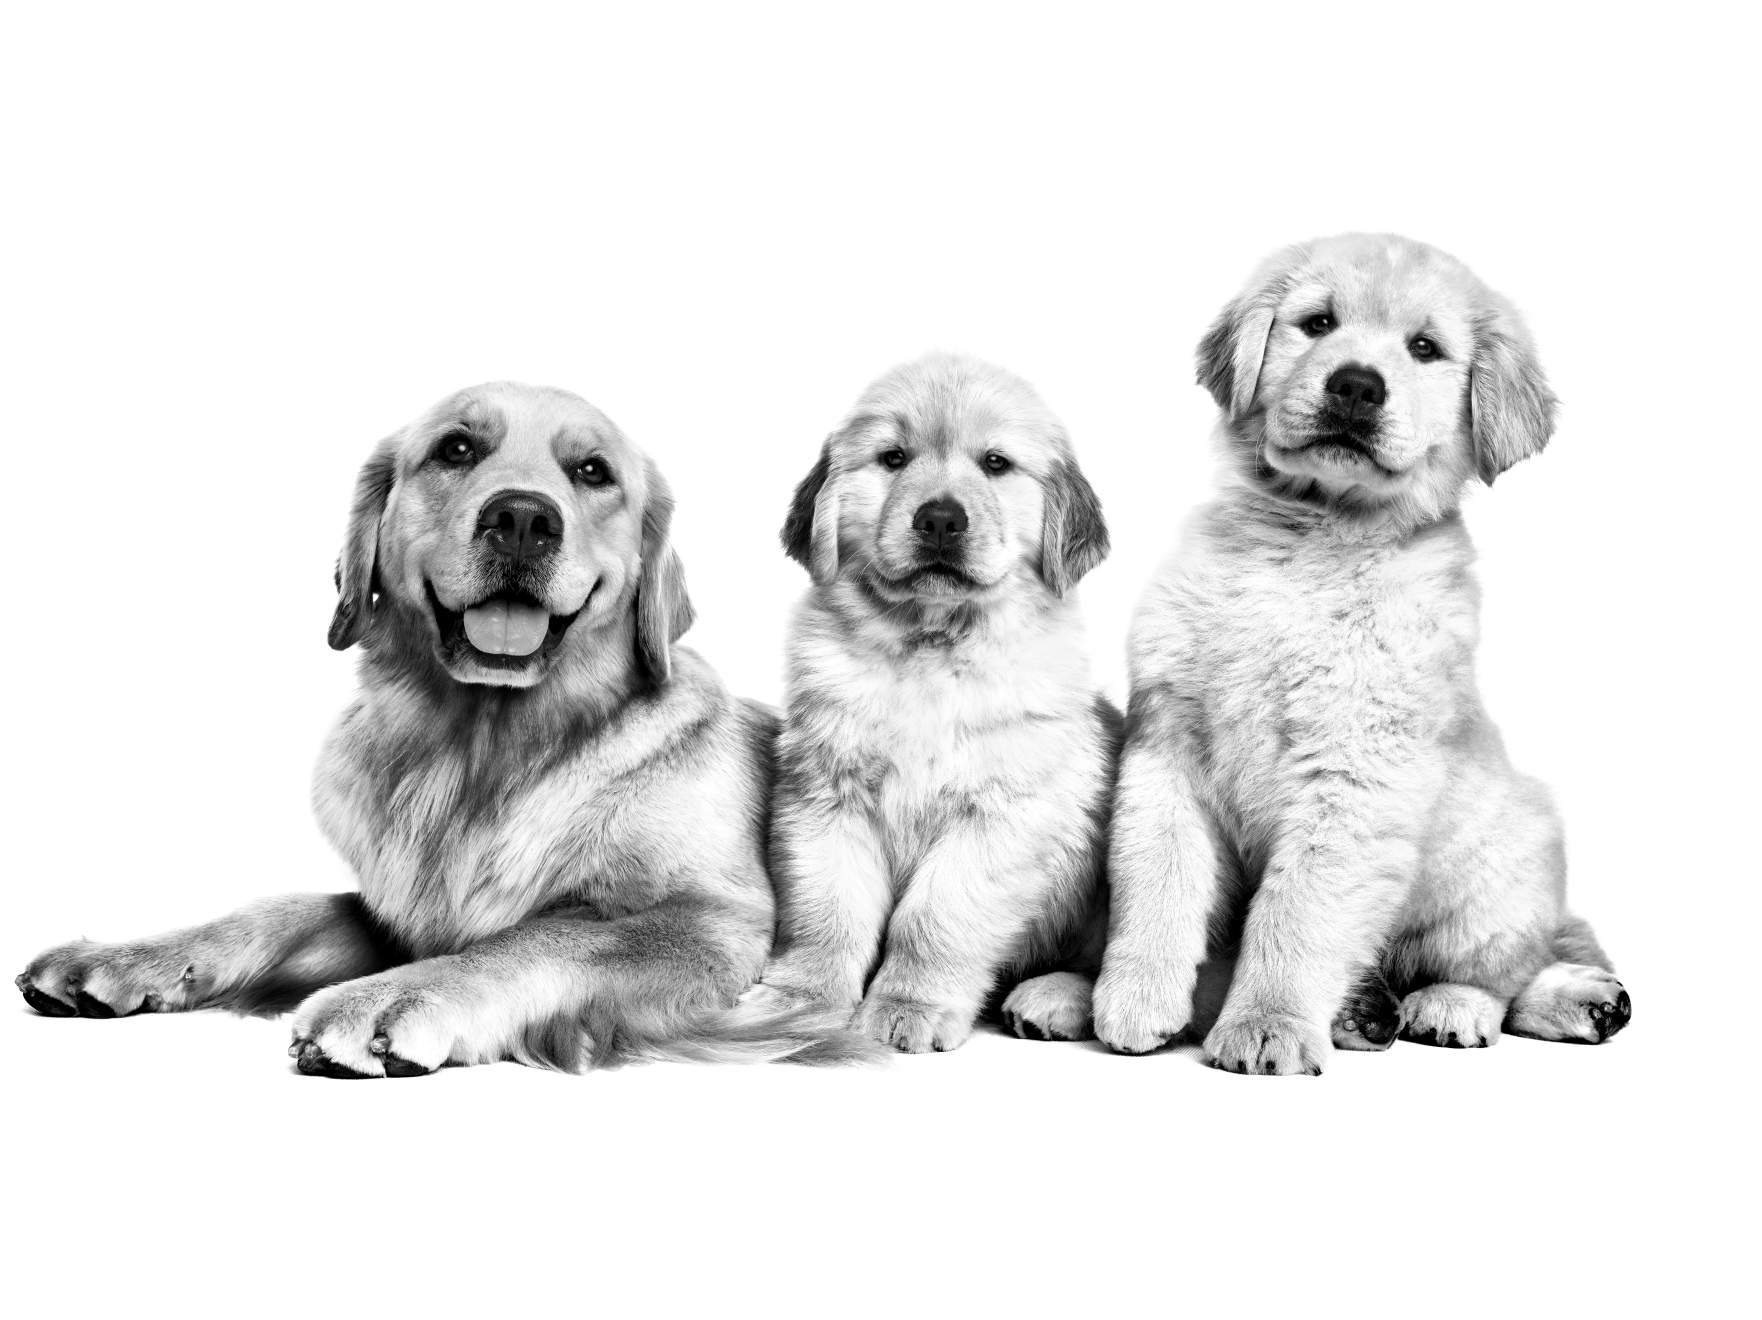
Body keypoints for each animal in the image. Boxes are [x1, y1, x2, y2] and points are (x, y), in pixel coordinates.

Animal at [13, 378, 866, 1071]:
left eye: (593, 472)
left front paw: (393, 998)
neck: (478, 753)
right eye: (456, 449)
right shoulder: (394, 913)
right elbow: (282, 908)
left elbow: (539, 934)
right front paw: (131, 956)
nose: (520, 517)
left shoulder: (714, 919)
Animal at [757, 350, 1113, 1050]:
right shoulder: (825, 798)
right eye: (893, 458)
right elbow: (826, 911)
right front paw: (802, 999)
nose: (941, 519)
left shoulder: (999, 816)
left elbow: (936, 918)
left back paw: (1051, 999)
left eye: (996, 463)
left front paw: (909, 1006)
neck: (930, 647)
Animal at [1092, 236, 1628, 1078]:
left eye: (1424, 348)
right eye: (1318, 323)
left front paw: (1268, 1022)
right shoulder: (1165, 747)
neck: (1313, 540)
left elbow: (1293, 912)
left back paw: (1481, 1004)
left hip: (1504, 859)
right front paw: (1137, 995)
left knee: (1507, 968)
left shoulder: (1355, 775)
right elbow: (1157, 878)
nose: (1355, 384)